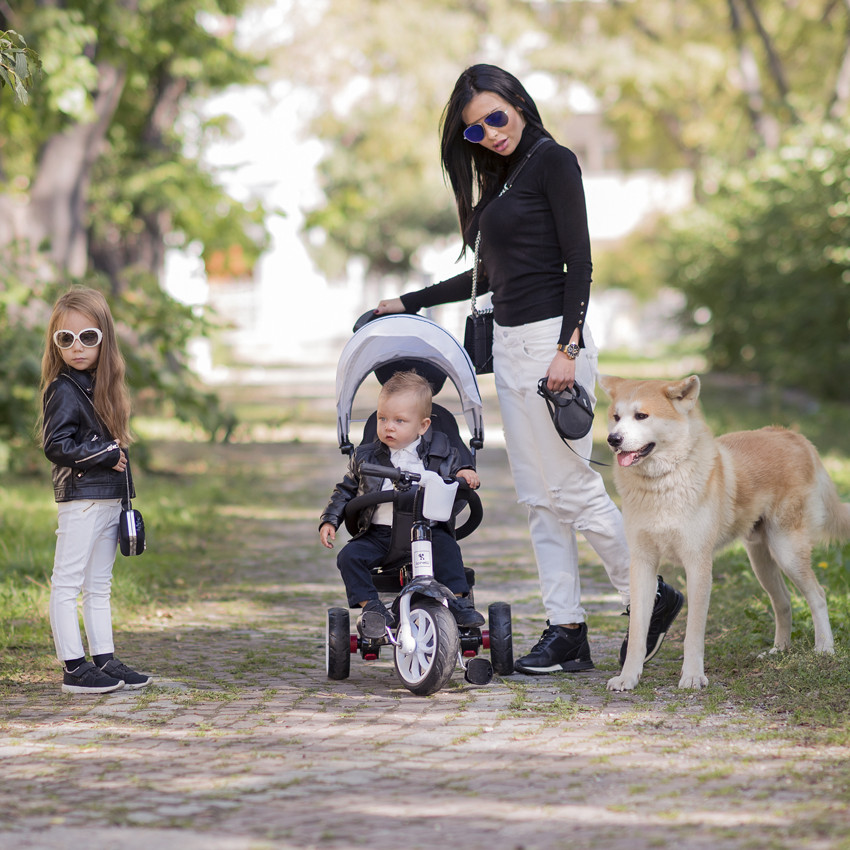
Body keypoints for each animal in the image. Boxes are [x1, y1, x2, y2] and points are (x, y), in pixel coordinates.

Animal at [600, 376, 844, 688]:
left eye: (641, 415)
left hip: (787, 552)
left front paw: (693, 676)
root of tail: (793, 436)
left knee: (818, 595)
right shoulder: (642, 563)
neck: (663, 483)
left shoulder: (698, 564)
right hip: (761, 561)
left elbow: (693, 633)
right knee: (784, 601)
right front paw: (628, 677)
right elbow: (637, 632)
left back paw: (824, 648)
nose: (613, 439)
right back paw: (779, 651)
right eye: (616, 417)